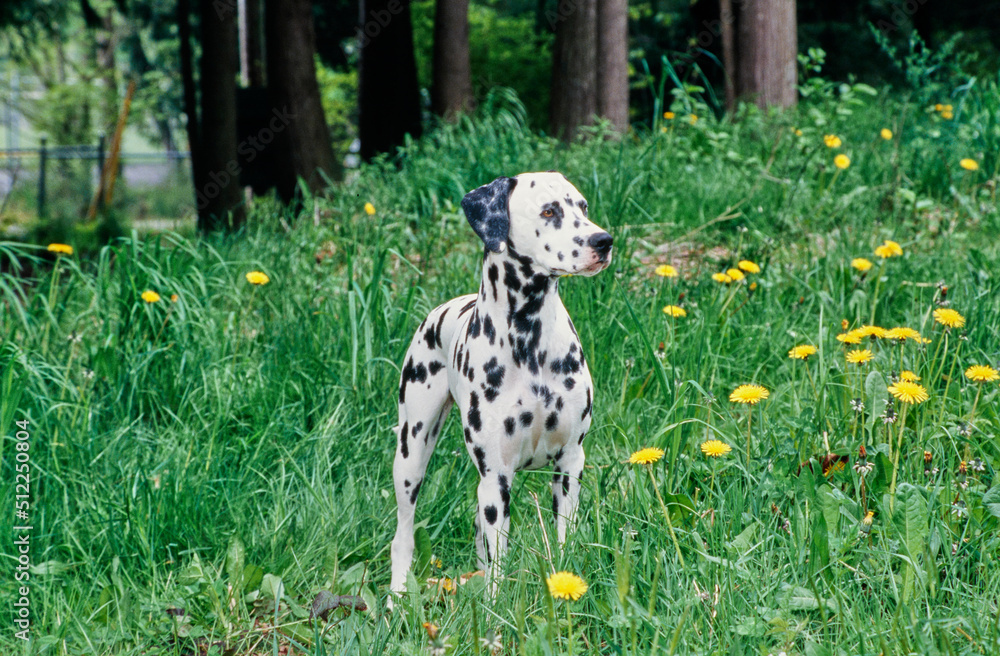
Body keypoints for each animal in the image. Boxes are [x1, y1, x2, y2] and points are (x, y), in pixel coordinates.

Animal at [388, 170, 608, 600]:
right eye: (549, 211)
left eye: (583, 206)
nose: (602, 241)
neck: (529, 342)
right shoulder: (496, 476)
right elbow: (497, 563)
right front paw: (494, 605)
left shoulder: (570, 463)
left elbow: (565, 537)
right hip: (411, 453)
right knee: (402, 533)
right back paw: (397, 595)